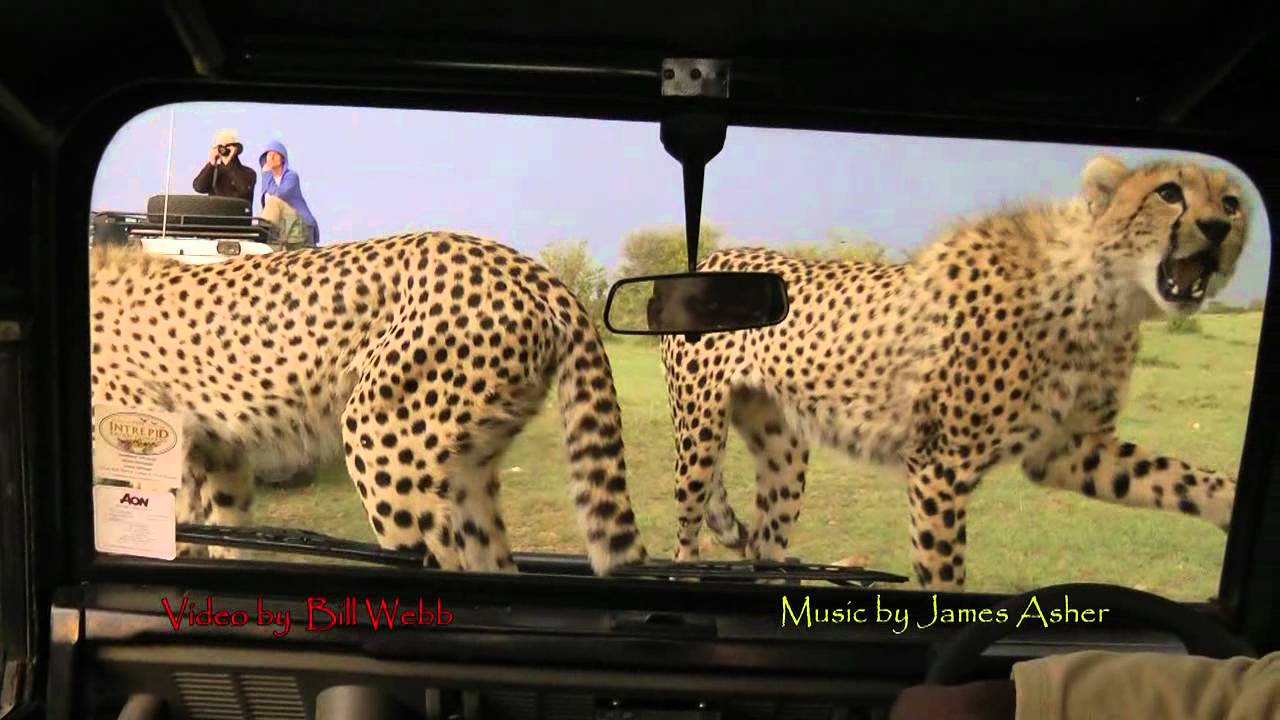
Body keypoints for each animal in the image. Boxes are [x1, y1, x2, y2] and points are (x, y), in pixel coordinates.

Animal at [88, 231, 649, 575]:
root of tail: (535, 272)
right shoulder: (218, 451)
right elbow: (223, 531)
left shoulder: (154, 448)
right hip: (467, 466)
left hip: (380, 437)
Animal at [657, 154, 1249, 590]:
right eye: (1169, 193)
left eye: (1232, 203)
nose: (1217, 227)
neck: (1104, 295)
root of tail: (712, 256)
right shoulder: (939, 464)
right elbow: (942, 570)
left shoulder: (1069, 448)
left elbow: (1175, 477)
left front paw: (1230, 503)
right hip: (701, 433)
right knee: (686, 535)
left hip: (782, 446)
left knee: (766, 538)